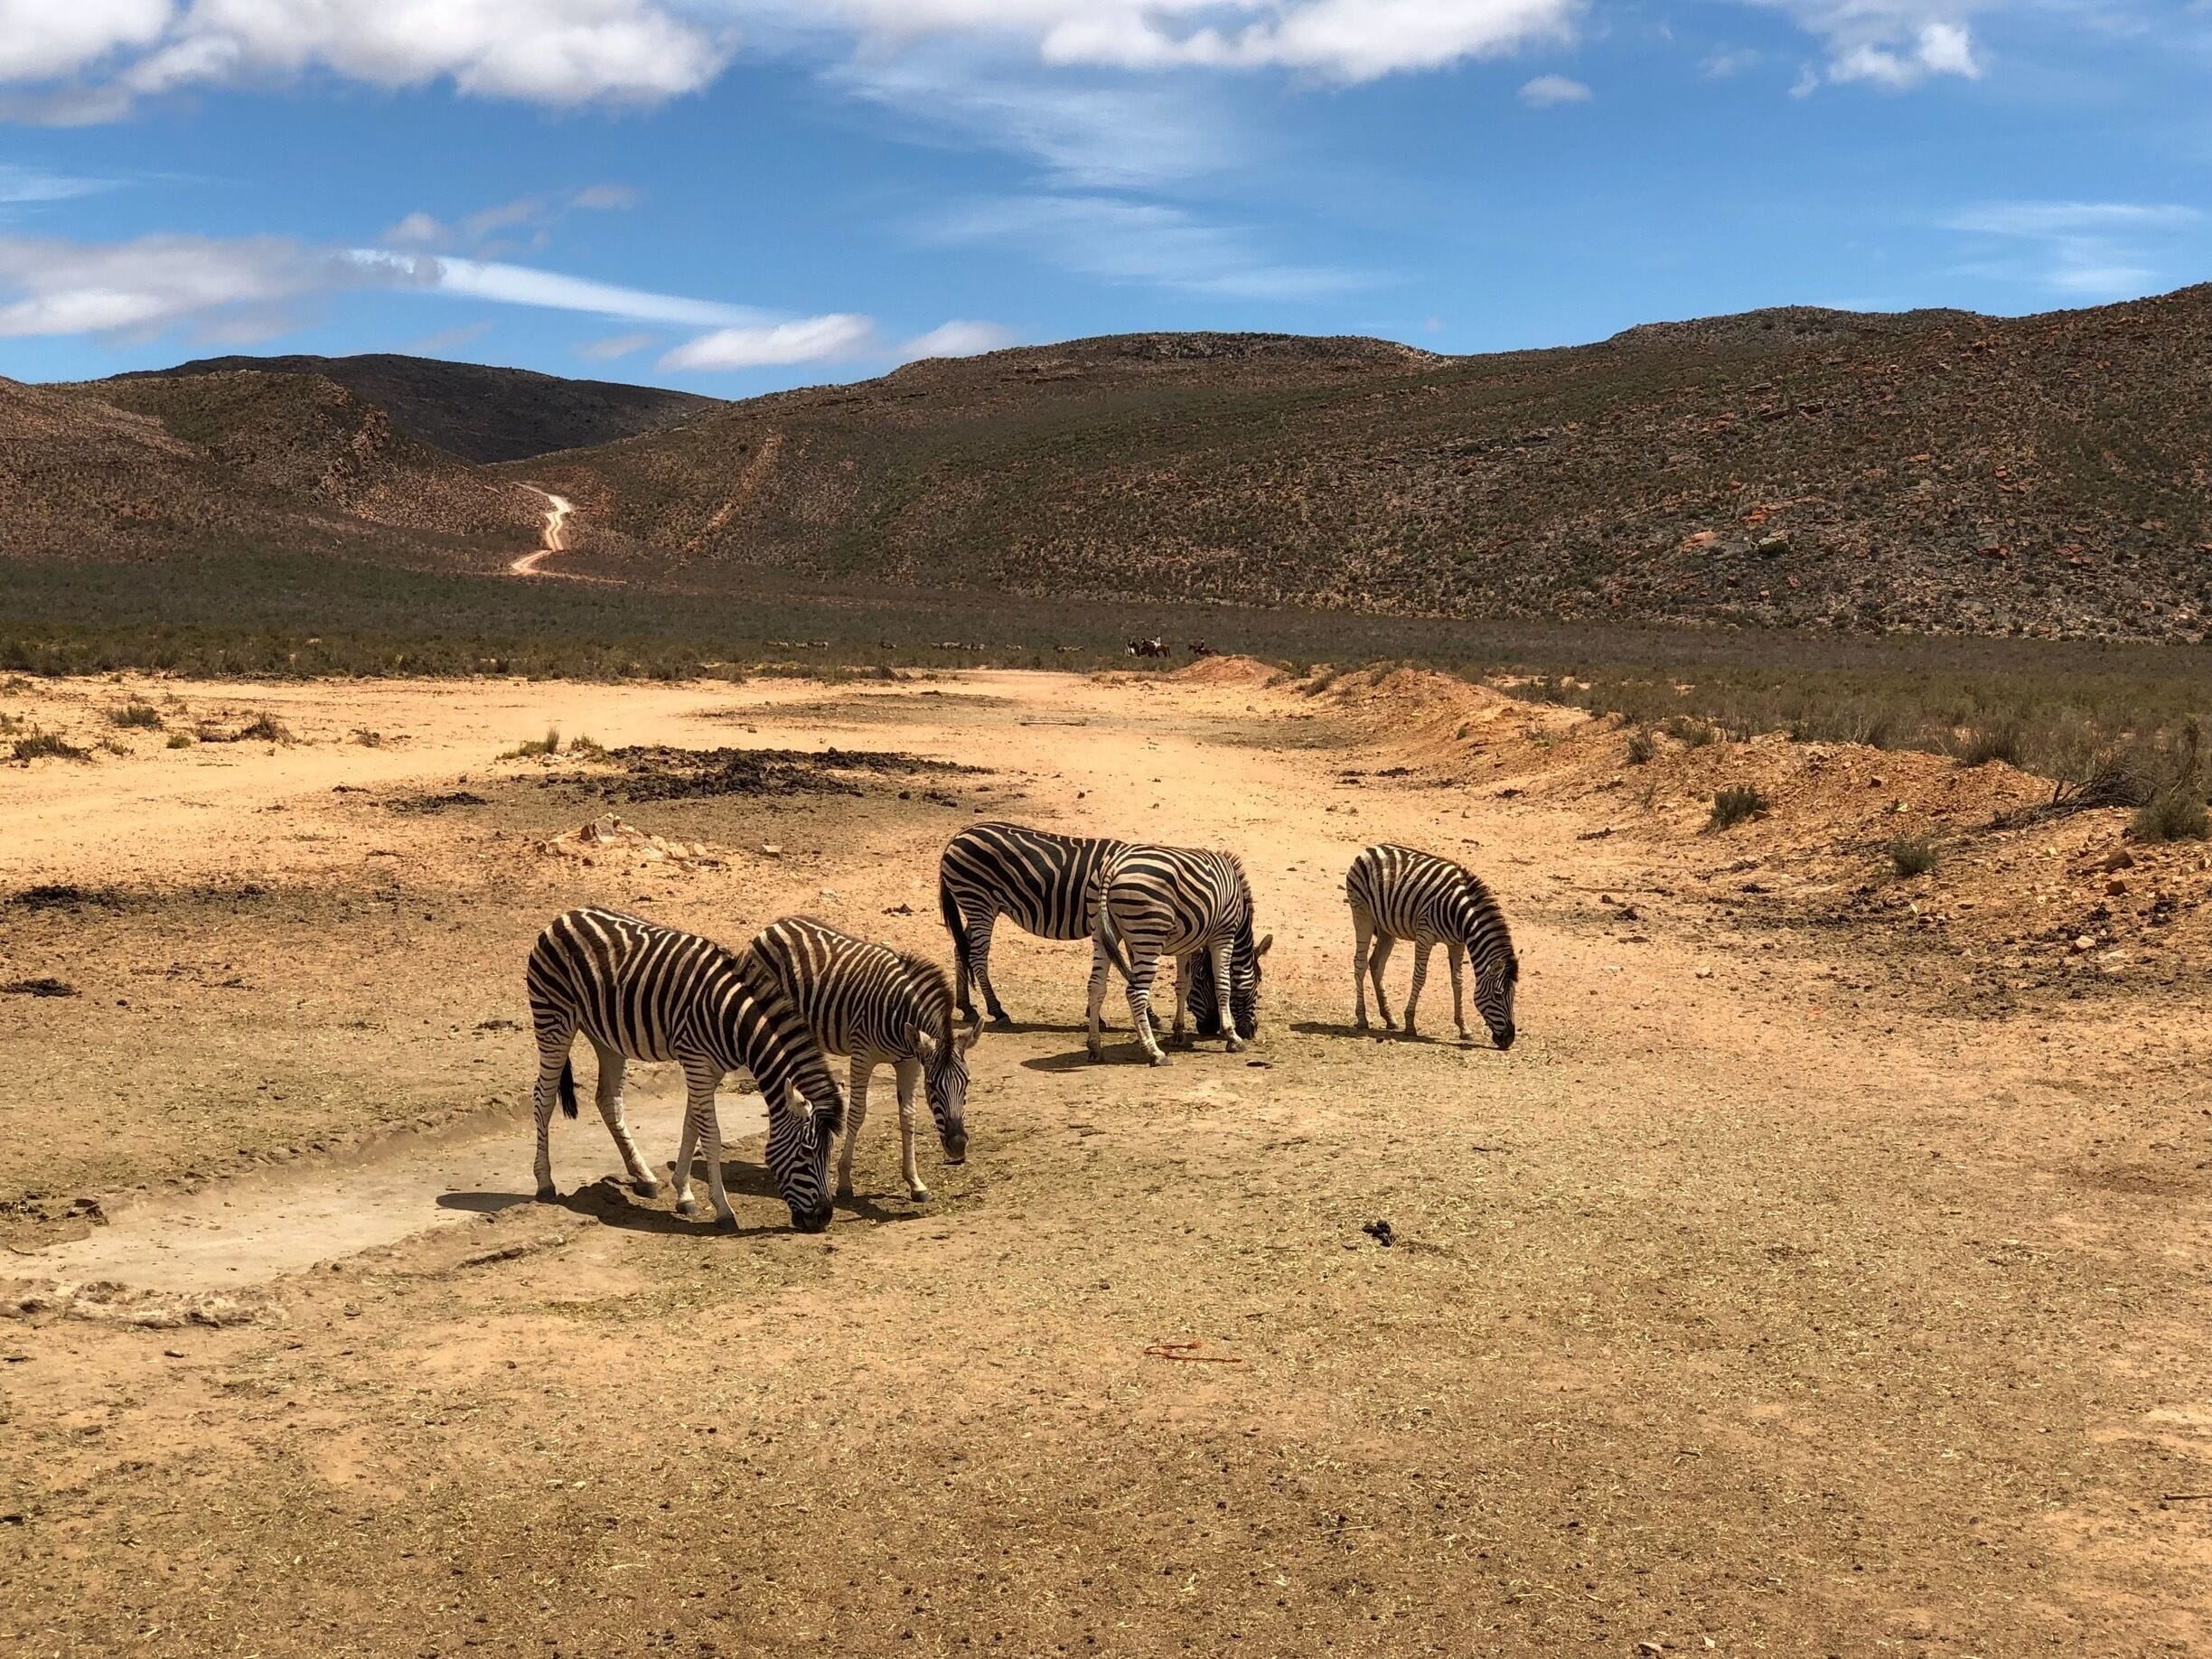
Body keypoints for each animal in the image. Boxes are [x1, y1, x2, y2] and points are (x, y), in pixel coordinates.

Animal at [525, 907, 846, 1233]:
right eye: (806, 1152)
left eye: (829, 1151)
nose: (823, 1218)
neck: (734, 1022)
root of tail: (568, 915)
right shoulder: (696, 1061)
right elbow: (711, 1135)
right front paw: (723, 1210)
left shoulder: (710, 1069)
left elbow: (691, 1126)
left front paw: (684, 1194)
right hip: (554, 1018)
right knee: (544, 1099)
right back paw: (545, 1183)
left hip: (607, 1037)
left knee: (608, 1101)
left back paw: (644, 1177)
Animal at [746, 915, 981, 1203]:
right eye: (933, 1087)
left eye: (967, 1083)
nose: (958, 1146)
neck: (899, 1014)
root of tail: (776, 923)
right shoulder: (863, 1055)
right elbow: (857, 1113)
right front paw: (845, 1180)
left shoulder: (910, 1062)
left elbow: (908, 1116)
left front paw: (915, 1182)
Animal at [938, 822, 1128, 1026]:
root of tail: (956, 837)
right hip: (978, 901)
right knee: (976, 956)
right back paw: (997, 1010)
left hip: (976, 905)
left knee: (961, 949)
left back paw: (966, 1007)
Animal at [1087, 843, 1272, 1066]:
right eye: (1259, 982)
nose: (1251, 1031)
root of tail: (1111, 867)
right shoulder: (1224, 934)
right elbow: (1223, 985)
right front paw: (1232, 1037)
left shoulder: (1187, 944)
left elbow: (1183, 986)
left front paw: (1178, 1033)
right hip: (1149, 936)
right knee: (1135, 993)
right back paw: (1154, 1053)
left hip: (1101, 932)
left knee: (1096, 987)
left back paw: (1095, 1048)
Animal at [1345, 843, 1518, 1049]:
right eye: (1498, 995)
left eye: (1513, 996)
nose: (1509, 1039)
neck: (1462, 915)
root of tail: (1372, 848)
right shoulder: (1425, 936)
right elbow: (1420, 977)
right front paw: (1410, 1023)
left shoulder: (1457, 943)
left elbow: (1457, 981)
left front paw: (1464, 1028)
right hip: (1362, 912)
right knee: (1360, 963)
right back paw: (1362, 1018)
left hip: (1386, 926)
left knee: (1377, 964)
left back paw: (1389, 1018)